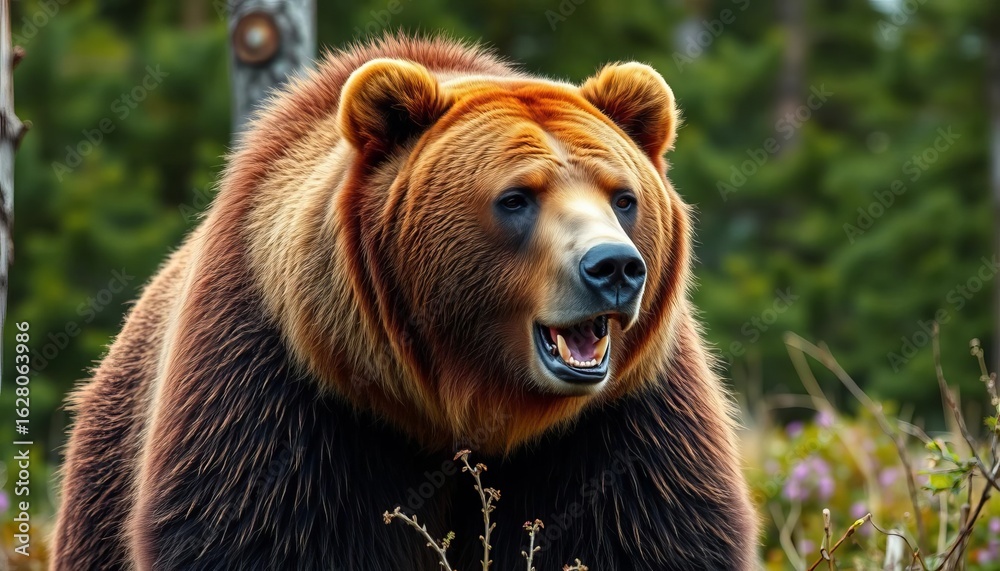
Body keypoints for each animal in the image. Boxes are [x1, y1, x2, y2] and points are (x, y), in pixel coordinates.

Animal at [51, 35, 758, 570]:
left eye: (623, 196)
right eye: (516, 198)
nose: (613, 267)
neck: (458, 399)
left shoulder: (622, 423)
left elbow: (644, 533)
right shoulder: (280, 397)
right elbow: (253, 531)